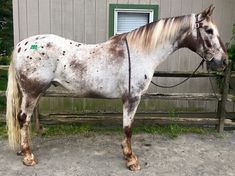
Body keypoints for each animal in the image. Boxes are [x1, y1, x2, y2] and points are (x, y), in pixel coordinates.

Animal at [6, 5, 228, 170]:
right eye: (209, 30)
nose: (224, 61)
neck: (142, 53)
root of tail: (20, 46)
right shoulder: (132, 98)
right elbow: (128, 128)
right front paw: (131, 159)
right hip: (32, 92)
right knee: (23, 119)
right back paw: (28, 156)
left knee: (21, 119)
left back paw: (22, 150)